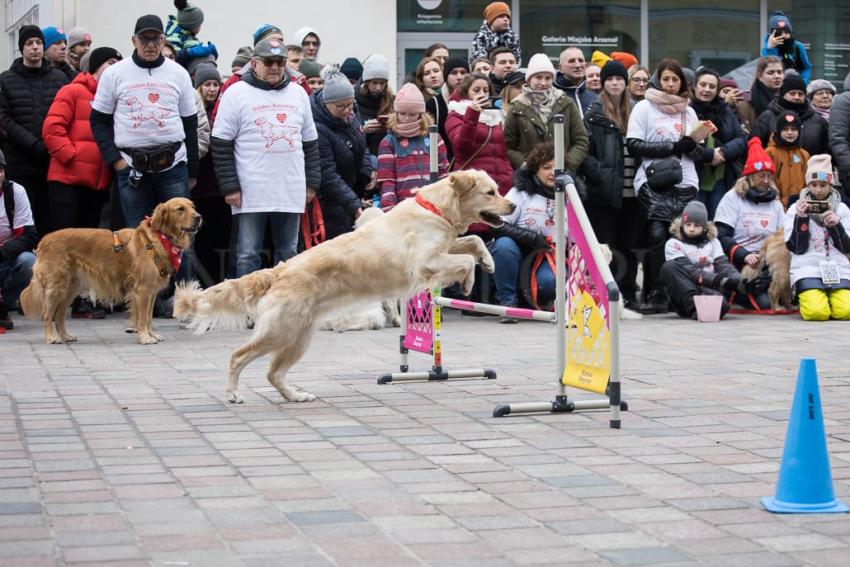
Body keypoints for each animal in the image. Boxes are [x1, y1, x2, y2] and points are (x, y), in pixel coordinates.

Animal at [21, 197, 200, 344]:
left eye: (193, 206)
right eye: (180, 209)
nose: (198, 217)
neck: (158, 238)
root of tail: (43, 240)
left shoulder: (151, 292)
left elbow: (148, 316)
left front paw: (151, 334)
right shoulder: (142, 290)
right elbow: (142, 317)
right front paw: (144, 337)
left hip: (70, 288)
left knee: (58, 315)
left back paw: (65, 336)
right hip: (57, 287)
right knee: (48, 313)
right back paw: (52, 337)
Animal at [172, 171, 510, 406]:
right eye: (490, 192)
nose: (513, 203)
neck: (435, 209)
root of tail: (279, 270)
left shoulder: (444, 247)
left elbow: (472, 241)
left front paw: (488, 261)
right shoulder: (425, 262)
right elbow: (463, 260)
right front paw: (468, 281)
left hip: (298, 337)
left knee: (273, 373)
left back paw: (296, 396)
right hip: (279, 331)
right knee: (238, 356)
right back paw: (233, 394)